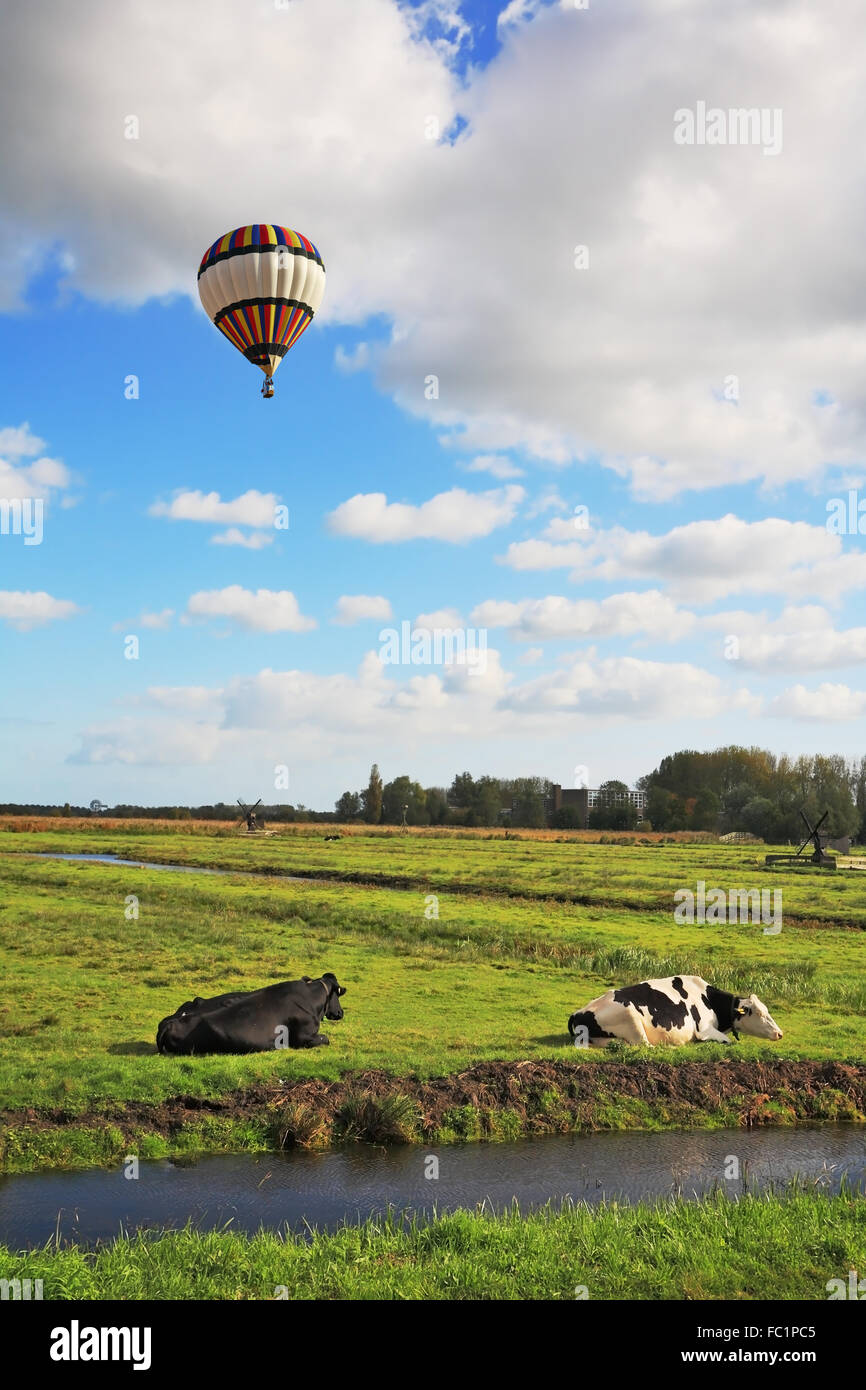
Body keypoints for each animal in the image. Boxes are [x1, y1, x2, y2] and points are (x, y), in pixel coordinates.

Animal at [569, 973, 783, 1045]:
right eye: (760, 1013)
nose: (780, 1033)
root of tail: (577, 1013)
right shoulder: (704, 1030)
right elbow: (728, 1041)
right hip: (631, 1016)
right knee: (646, 1046)